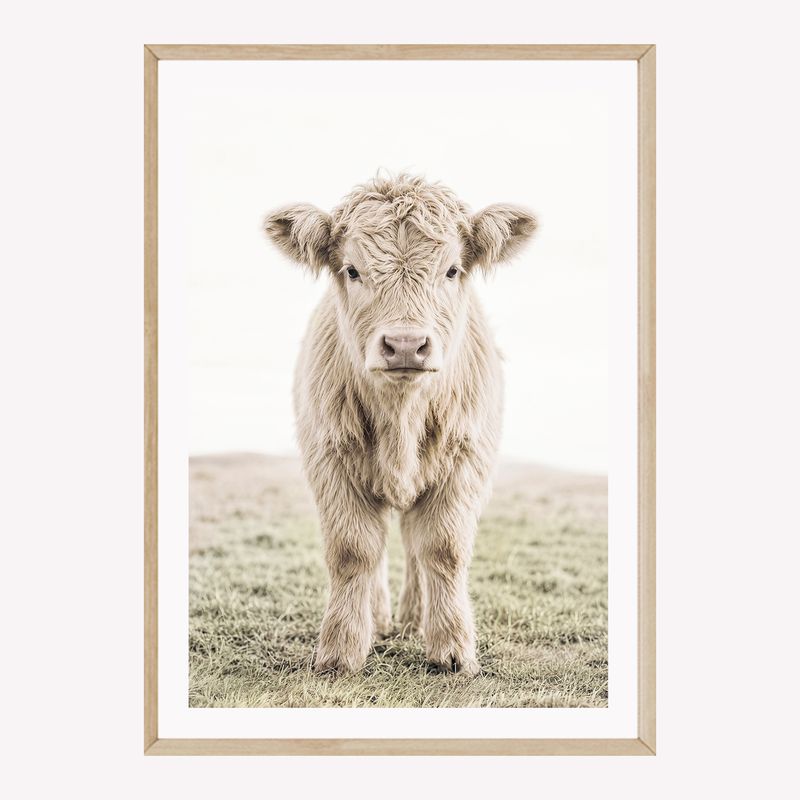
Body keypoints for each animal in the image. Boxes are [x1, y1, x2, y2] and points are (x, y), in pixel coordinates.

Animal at [264, 174, 537, 675]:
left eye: (452, 270)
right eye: (352, 270)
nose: (406, 345)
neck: (402, 418)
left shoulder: (465, 461)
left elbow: (443, 548)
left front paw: (452, 649)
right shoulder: (330, 460)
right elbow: (354, 551)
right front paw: (342, 650)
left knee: (414, 543)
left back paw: (414, 617)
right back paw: (381, 618)